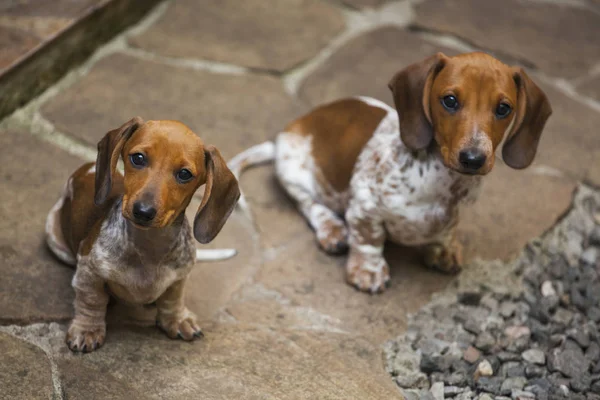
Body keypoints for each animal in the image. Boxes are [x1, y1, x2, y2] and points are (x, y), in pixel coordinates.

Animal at [45, 118, 240, 350]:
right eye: (138, 158)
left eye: (184, 174)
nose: (143, 211)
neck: (149, 247)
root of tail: (85, 169)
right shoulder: (89, 271)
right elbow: (91, 301)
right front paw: (87, 330)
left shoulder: (179, 277)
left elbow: (173, 298)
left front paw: (177, 319)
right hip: (54, 239)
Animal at [227, 51, 552, 292]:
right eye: (449, 100)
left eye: (503, 108)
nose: (473, 158)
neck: (440, 181)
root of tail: (287, 133)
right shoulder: (365, 207)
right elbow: (369, 240)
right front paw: (368, 271)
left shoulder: (453, 212)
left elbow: (447, 230)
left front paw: (443, 250)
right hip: (293, 173)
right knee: (309, 204)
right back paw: (332, 230)